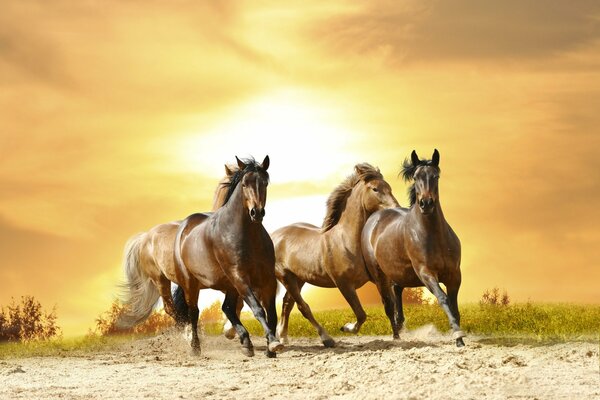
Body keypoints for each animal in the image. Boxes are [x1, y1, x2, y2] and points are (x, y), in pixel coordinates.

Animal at [169, 155, 282, 356]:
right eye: (244, 184)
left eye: (265, 183)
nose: (256, 213)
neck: (247, 235)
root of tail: (184, 227)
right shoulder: (240, 277)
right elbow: (258, 309)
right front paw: (274, 343)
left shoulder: (267, 279)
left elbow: (271, 313)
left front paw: (271, 347)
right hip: (192, 283)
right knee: (194, 312)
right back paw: (196, 348)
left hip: (229, 285)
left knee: (227, 308)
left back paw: (246, 343)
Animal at [272, 162, 398, 346]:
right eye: (375, 189)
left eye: (389, 187)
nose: (396, 209)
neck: (347, 241)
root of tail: (274, 235)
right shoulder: (344, 284)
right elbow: (361, 314)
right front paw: (346, 327)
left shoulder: (379, 279)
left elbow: (389, 306)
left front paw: (398, 336)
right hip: (286, 277)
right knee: (303, 307)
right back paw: (327, 339)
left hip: (299, 278)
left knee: (287, 304)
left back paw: (283, 337)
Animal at [358, 150, 466, 346]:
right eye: (416, 177)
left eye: (436, 176)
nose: (426, 203)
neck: (434, 236)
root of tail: (374, 217)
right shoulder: (426, 273)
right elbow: (443, 299)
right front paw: (457, 334)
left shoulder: (454, 275)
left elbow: (454, 306)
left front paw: (459, 339)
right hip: (379, 276)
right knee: (388, 304)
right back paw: (396, 336)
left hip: (399, 273)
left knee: (397, 292)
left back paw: (400, 327)